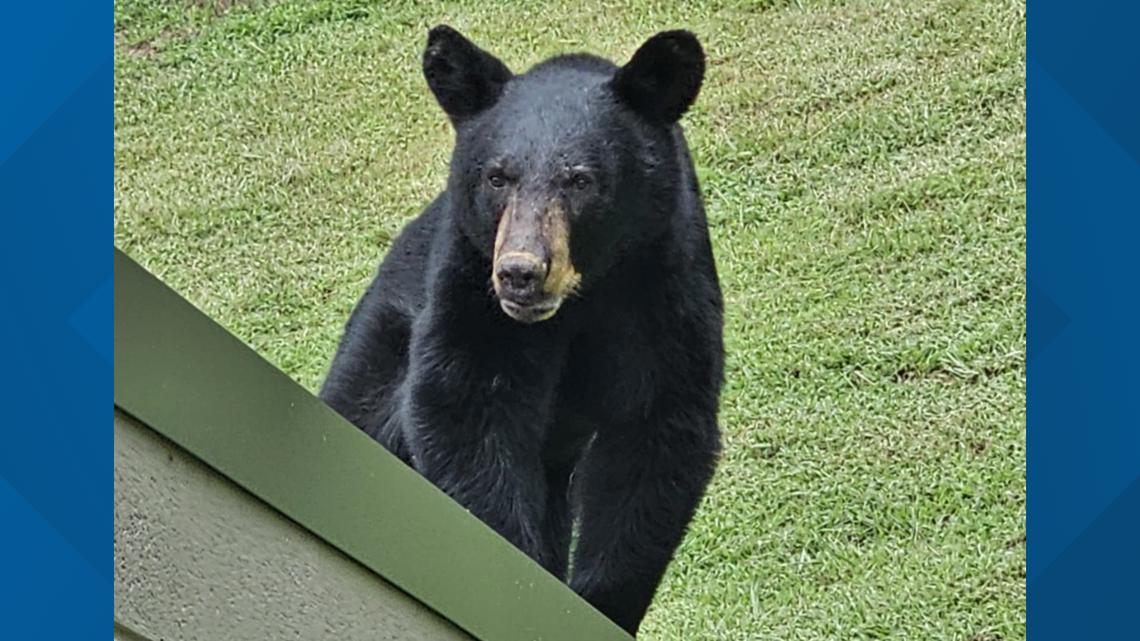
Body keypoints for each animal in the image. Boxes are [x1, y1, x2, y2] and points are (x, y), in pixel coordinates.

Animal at [320, 25, 723, 636]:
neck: (582, 300)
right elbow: (466, 414)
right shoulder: (470, 292)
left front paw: (598, 603)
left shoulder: (666, 291)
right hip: (379, 349)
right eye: (497, 176)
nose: (520, 271)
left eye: (580, 179)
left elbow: (656, 435)